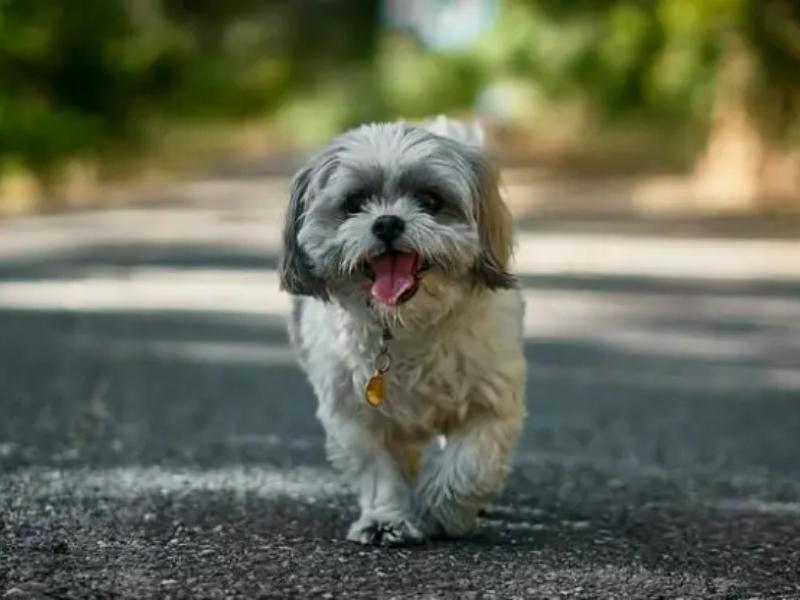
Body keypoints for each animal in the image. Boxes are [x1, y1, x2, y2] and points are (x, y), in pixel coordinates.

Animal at [278, 116, 528, 544]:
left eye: (431, 200)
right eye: (354, 203)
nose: (387, 222)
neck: (405, 328)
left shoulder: (491, 401)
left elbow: (471, 463)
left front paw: (443, 509)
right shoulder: (354, 414)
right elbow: (379, 470)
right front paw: (385, 520)